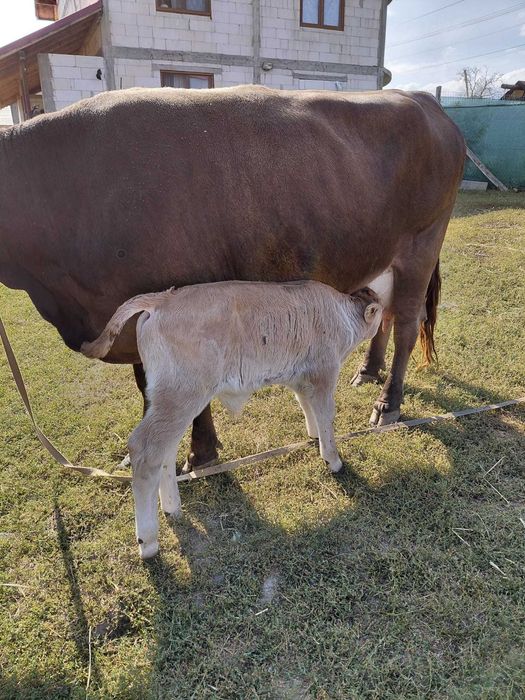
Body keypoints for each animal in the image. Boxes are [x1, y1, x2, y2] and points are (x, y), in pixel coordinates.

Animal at [0, 85, 465, 470]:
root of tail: (422, 98)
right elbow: (147, 386)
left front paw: (200, 453)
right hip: (384, 256)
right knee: (384, 315)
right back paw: (368, 370)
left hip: (422, 245)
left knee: (406, 325)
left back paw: (388, 404)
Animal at [81, 280, 384, 558]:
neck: (340, 313)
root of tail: (162, 299)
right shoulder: (324, 371)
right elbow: (326, 413)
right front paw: (333, 459)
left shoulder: (299, 376)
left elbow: (307, 406)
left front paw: (313, 435)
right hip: (181, 396)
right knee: (145, 450)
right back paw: (148, 542)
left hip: (171, 402)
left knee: (165, 452)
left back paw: (172, 507)